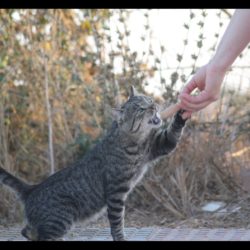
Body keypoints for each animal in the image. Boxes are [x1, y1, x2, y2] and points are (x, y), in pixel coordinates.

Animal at [0, 86, 188, 240]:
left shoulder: (159, 145)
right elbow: (117, 223)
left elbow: (174, 130)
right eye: (141, 109)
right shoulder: (116, 192)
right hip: (61, 219)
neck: (136, 142)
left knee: (26, 231)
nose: (154, 105)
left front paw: (183, 110)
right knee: (40, 236)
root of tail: (31, 189)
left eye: (149, 100)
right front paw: (120, 238)